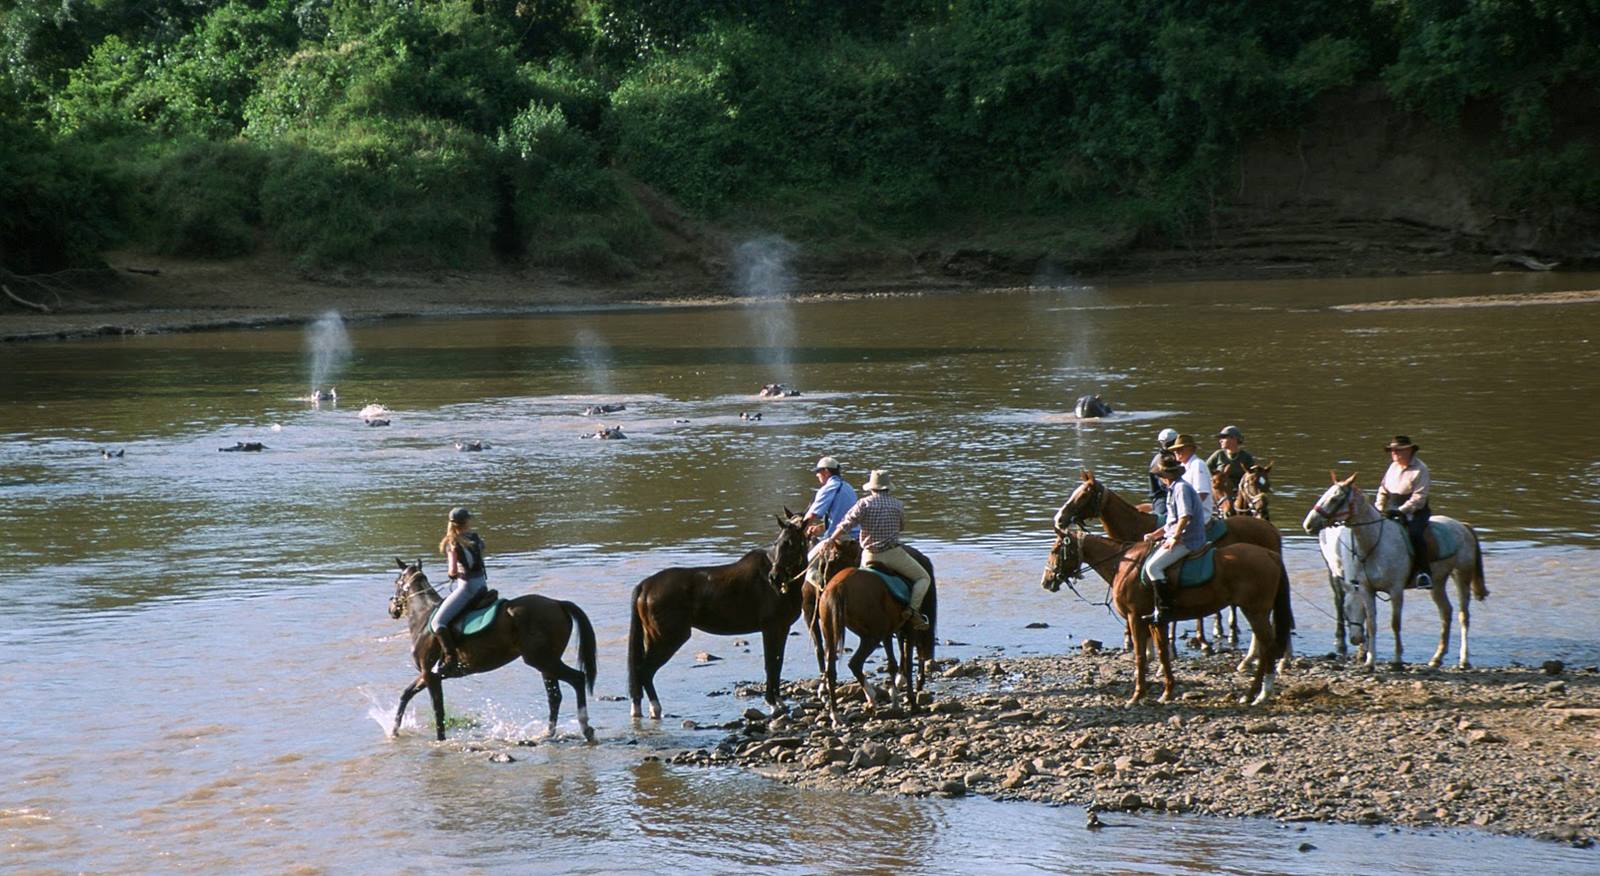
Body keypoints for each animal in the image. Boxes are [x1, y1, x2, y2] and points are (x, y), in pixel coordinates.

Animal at [387, 560, 598, 742]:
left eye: (397, 581)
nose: (391, 608)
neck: (423, 616)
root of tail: (558, 603)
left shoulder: (430, 676)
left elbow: (437, 710)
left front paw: (440, 741)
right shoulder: (430, 674)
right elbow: (406, 693)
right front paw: (394, 730)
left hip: (542, 660)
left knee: (577, 679)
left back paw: (585, 728)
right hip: (546, 663)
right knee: (554, 696)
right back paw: (548, 733)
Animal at [628, 513, 810, 720]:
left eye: (791, 544)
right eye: (778, 543)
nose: (774, 577)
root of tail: (646, 585)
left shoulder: (782, 628)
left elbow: (777, 663)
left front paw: (778, 701)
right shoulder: (770, 629)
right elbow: (770, 664)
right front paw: (773, 704)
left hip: (654, 638)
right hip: (667, 639)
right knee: (645, 671)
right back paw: (655, 709)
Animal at [815, 546, 938, 725]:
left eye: (831, 561)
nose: (821, 584)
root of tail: (838, 587)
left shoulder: (890, 632)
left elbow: (893, 663)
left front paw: (896, 700)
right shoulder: (908, 629)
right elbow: (907, 661)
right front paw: (911, 702)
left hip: (832, 635)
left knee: (832, 671)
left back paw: (836, 715)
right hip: (872, 636)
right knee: (855, 663)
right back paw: (872, 699)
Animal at [1040, 528, 1293, 705]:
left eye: (1054, 551)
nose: (1046, 581)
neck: (1125, 564)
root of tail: (1269, 554)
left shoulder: (1135, 618)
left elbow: (1140, 656)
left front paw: (1137, 696)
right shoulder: (1155, 620)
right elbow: (1162, 653)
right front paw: (1167, 692)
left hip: (1254, 611)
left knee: (1268, 647)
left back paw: (1260, 694)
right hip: (1256, 611)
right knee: (1265, 646)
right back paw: (1253, 693)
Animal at [1303, 472, 1488, 670]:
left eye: (1335, 498)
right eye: (1346, 611)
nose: (1308, 524)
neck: (1374, 543)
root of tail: (1462, 526)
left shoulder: (1396, 590)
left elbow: (1395, 624)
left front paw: (1397, 660)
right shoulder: (1366, 589)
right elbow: (1372, 624)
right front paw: (1369, 661)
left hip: (1461, 575)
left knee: (1463, 615)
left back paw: (1464, 660)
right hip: (1438, 581)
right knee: (1446, 612)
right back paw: (1437, 658)